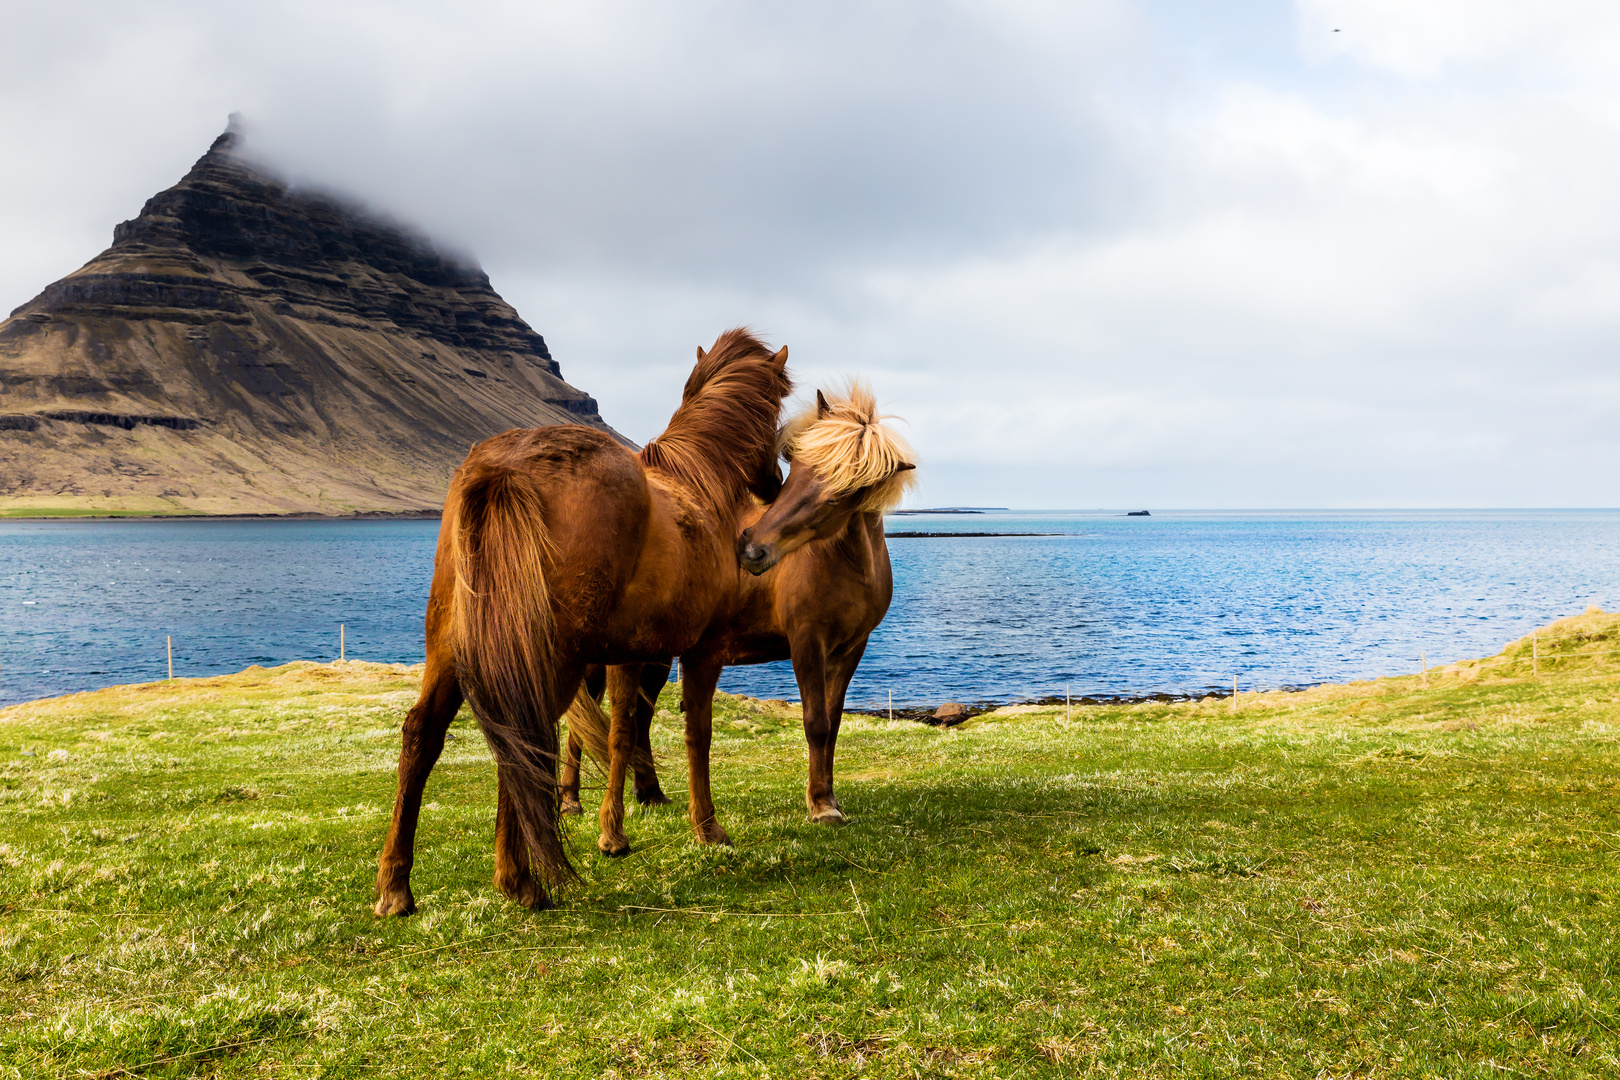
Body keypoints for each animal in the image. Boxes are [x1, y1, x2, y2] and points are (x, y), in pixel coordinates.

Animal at [372, 327, 790, 913]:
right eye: (778, 408)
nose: (775, 483)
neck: (699, 484)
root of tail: (503, 468)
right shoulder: (698, 650)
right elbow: (688, 733)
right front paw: (702, 829)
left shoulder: (633, 652)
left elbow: (624, 731)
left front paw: (619, 824)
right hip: (546, 659)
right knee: (525, 738)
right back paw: (519, 880)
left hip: (455, 649)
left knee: (427, 735)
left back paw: (397, 886)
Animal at [560, 382, 913, 854]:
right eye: (796, 465)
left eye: (841, 493)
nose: (751, 549)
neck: (846, 562)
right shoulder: (806, 642)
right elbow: (815, 722)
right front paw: (821, 806)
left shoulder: (851, 649)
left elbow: (834, 722)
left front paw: (828, 797)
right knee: (587, 725)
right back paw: (571, 802)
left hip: (657, 657)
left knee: (641, 719)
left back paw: (650, 794)